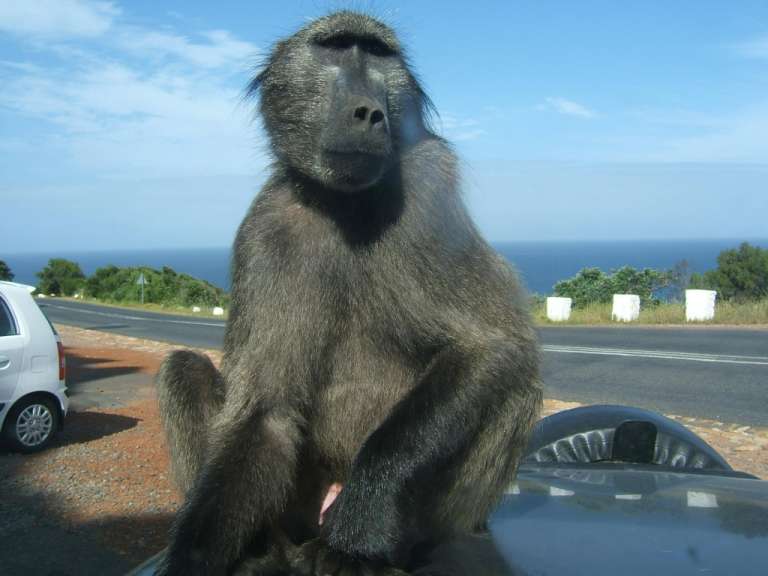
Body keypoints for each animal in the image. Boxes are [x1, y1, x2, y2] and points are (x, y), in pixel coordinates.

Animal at [155, 11, 541, 576]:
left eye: (378, 54)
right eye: (335, 48)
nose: (369, 112)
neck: (342, 202)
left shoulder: (429, 184)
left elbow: (491, 344)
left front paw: (361, 527)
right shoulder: (263, 231)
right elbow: (265, 413)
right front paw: (195, 557)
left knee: (516, 382)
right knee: (181, 368)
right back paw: (262, 552)